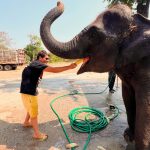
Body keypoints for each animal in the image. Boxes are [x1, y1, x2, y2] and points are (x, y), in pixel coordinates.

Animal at [40, 1, 150, 150]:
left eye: (93, 35)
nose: (59, 2)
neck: (137, 22)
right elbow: (127, 97)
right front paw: (128, 136)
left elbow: (145, 104)